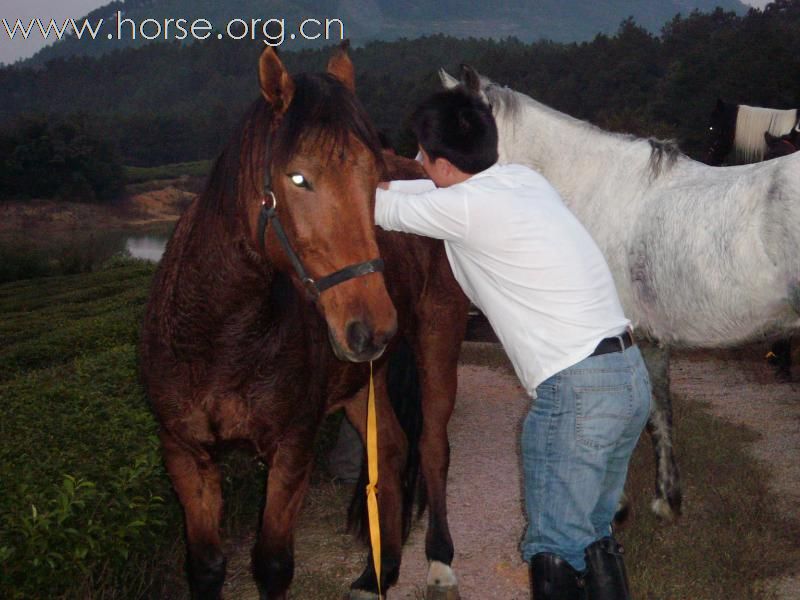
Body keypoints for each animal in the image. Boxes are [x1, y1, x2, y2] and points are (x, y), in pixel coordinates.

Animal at [141, 43, 472, 600]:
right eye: (297, 178)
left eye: (373, 178)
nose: (373, 324)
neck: (220, 336)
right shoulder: (184, 451)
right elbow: (205, 565)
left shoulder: (293, 446)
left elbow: (273, 564)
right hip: (363, 381)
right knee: (391, 452)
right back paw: (378, 571)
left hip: (437, 337)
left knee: (431, 447)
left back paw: (439, 559)